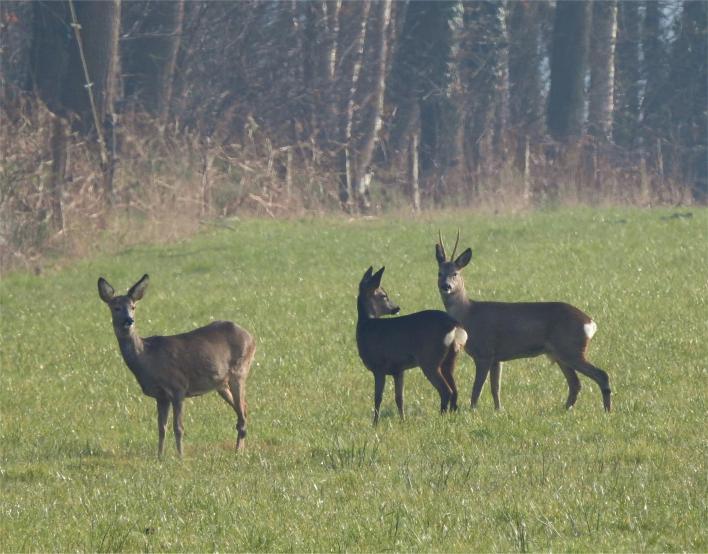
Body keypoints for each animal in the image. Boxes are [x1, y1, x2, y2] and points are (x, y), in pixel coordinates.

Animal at [97, 274, 254, 454]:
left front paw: (180, 456)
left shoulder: (178, 387)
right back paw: (240, 449)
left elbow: (178, 428)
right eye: (116, 308)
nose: (129, 320)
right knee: (244, 408)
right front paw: (160, 456)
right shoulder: (161, 396)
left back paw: (238, 451)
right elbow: (161, 428)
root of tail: (251, 337)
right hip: (221, 383)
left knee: (242, 413)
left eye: (133, 306)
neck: (147, 358)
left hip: (240, 371)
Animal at [354, 266, 470, 422]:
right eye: (384, 295)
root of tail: (455, 324)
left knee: (446, 391)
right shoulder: (398, 369)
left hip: (430, 359)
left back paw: (440, 418)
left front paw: (375, 423)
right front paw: (403, 421)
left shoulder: (379, 366)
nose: (396, 308)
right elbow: (399, 398)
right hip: (450, 359)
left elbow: (378, 398)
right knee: (455, 391)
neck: (366, 327)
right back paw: (450, 417)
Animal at [434, 230, 612, 410]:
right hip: (561, 353)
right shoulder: (497, 358)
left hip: (571, 348)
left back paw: (606, 410)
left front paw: (473, 410)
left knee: (601, 375)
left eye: (455, 273)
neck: (469, 314)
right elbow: (495, 387)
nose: (446, 286)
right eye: (439, 273)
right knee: (575, 383)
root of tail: (590, 323)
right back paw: (565, 409)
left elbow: (477, 388)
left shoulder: (484, 352)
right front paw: (499, 410)